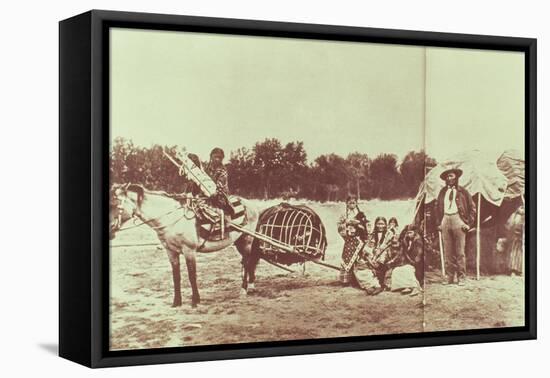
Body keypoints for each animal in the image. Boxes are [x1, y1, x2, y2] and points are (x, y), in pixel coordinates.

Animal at [111, 183, 262, 308]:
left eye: (114, 203)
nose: (110, 230)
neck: (171, 220)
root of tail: (251, 205)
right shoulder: (171, 252)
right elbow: (176, 277)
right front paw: (177, 302)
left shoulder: (189, 251)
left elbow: (191, 275)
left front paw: (195, 301)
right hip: (239, 242)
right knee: (247, 262)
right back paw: (250, 286)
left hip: (247, 240)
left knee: (247, 263)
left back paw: (244, 289)